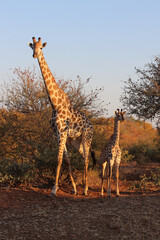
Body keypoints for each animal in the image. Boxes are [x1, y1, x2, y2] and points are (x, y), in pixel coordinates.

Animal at [28, 37, 94, 195]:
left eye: (41, 48)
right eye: (32, 47)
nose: (34, 55)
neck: (55, 104)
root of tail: (91, 124)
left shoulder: (62, 132)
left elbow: (58, 160)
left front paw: (54, 189)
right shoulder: (57, 134)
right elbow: (66, 160)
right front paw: (73, 188)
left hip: (86, 137)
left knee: (86, 159)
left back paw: (86, 189)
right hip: (75, 141)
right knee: (84, 156)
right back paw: (84, 186)